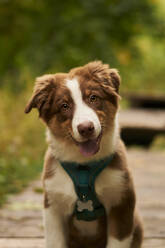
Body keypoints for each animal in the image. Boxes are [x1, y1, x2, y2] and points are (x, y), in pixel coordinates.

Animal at [24, 61, 143, 248]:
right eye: (64, 106)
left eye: (93, 98)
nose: (86, 128)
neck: (84, 165)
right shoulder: (53, 204)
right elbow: (55, 241)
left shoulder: (121, 201)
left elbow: (117, 241)